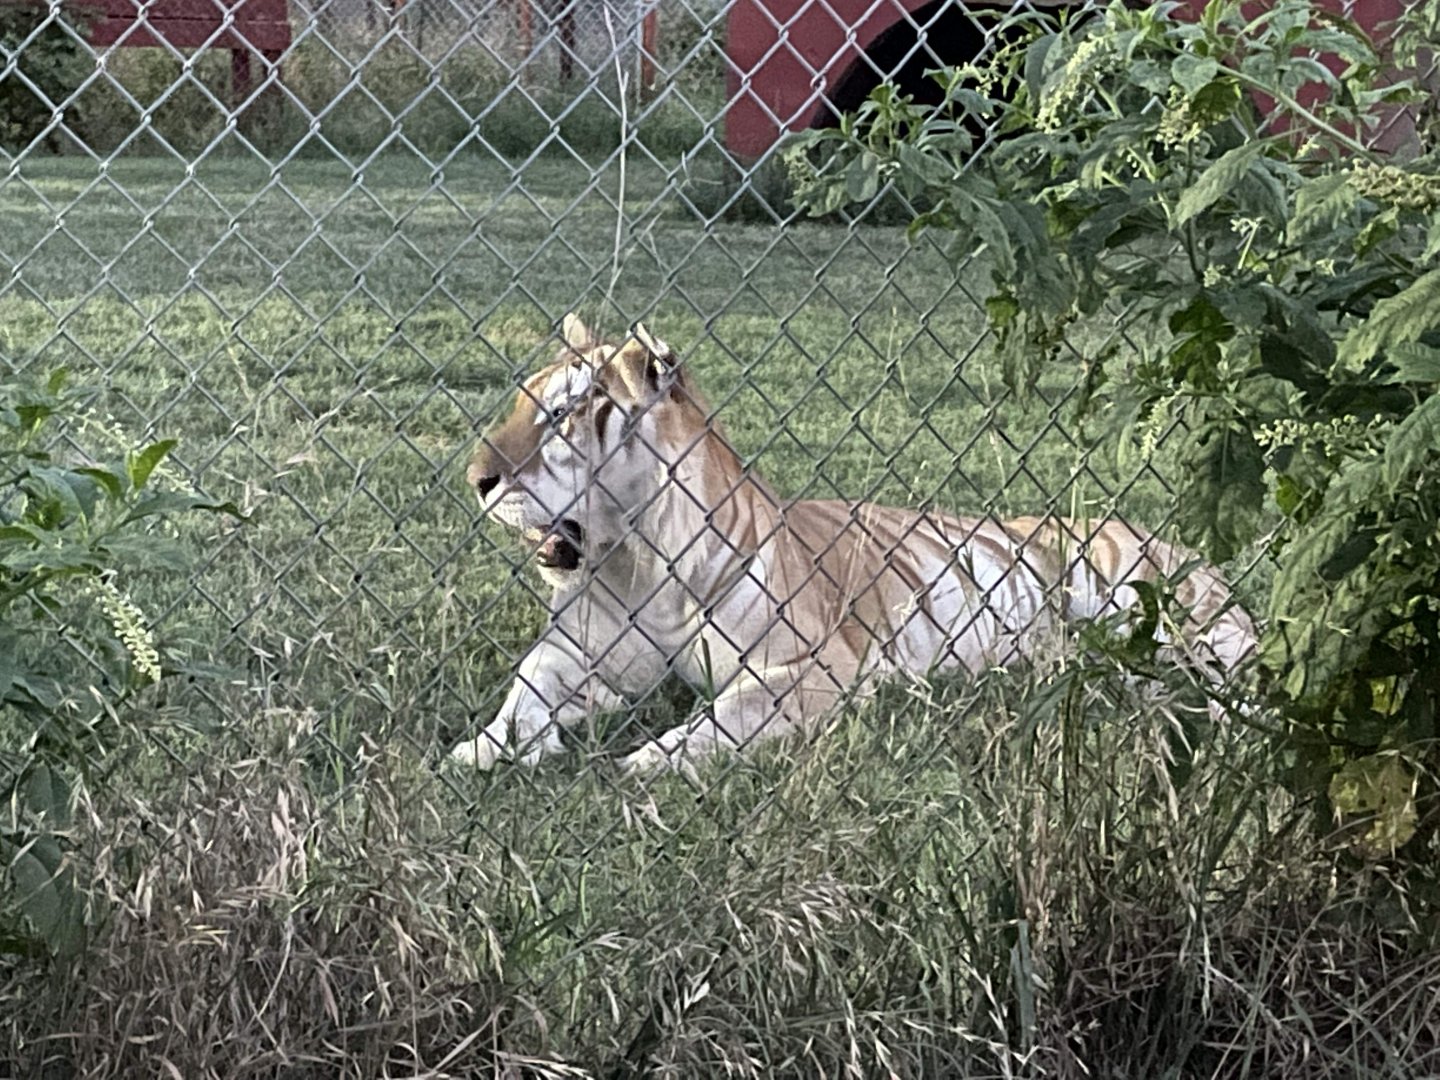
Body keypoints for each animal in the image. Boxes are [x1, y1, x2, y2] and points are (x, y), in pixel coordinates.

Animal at [449, 314, 1257, 775]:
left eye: (560, 415)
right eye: (524, 400)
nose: (475, 479)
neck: (639, 563)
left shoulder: (813, 667)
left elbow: (728, 715)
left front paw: (651, 759)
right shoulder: (582, 652)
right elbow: (526, 689)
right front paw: (485, 748)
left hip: (1178, 623)